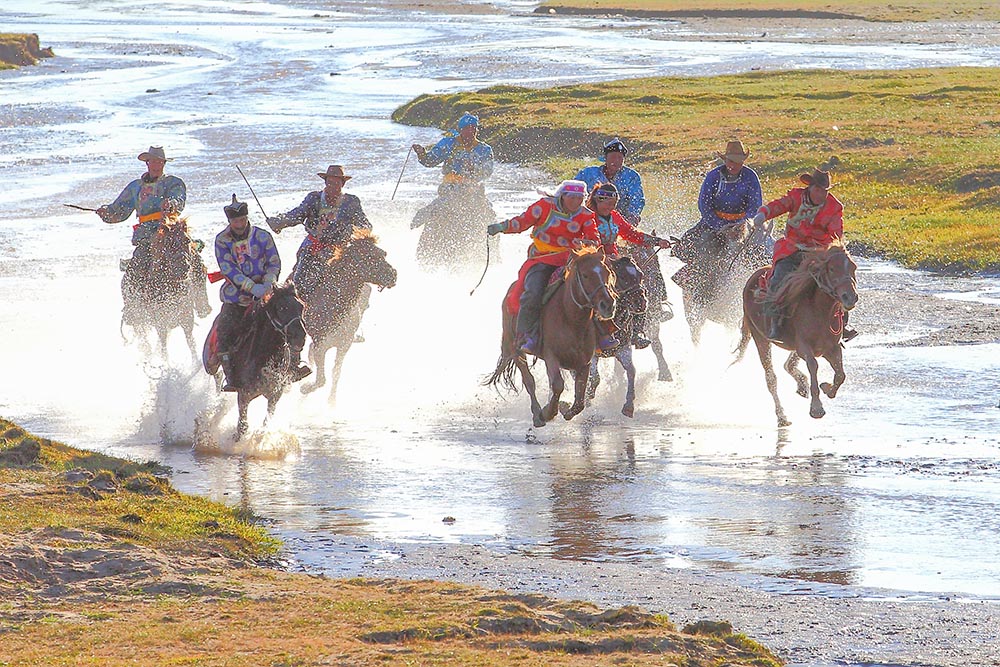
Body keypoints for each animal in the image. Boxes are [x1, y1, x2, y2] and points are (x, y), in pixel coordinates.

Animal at [121, 214, 211, 362]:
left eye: (187, 240)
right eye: (168, 242)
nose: (183, 268)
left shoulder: (186, 316)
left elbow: (190, 341)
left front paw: (196, 363)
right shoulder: (160, 319)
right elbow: (163, 343)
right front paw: (165, 363)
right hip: (136, 316)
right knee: (143, 337)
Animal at [294, 230, 396, 408]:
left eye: (383, 253)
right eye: (371, 256)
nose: (393, 274)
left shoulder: (344, 345)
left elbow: (335, 373)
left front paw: (331, 401)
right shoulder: (321, 344)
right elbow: (321, 378)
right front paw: (305, 388)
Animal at [486, 245, 616, 428]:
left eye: (607, 272)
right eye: (585, 275)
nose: (608, 304)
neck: (571, 318)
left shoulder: (584, 362)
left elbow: (580, 399)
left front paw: (565, 408)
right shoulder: (551, 356)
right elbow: (557, 385)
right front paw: (548, 412)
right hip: (514, 348)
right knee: (529, 381)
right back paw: (537, 414)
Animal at [584, 254, 648, 418]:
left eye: (641, 275)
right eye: (622, 277)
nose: (641, 303)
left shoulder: (623, 348)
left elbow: (631, 371)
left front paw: (629, 406)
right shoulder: (591, 353)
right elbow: (594, 378)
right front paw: (588, 397)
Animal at [736, 241, 860, 428]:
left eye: (853, 267)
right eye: (832, 269)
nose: (850, 297)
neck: (820, 312)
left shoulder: (832, 348)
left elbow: (840, 375)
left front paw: (826, 388)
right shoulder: (804, 348)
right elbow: (813, 366)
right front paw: (816, 408)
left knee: (788, 365)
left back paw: (801, 385)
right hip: (760, 338)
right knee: (771, 378)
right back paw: (782, 416)